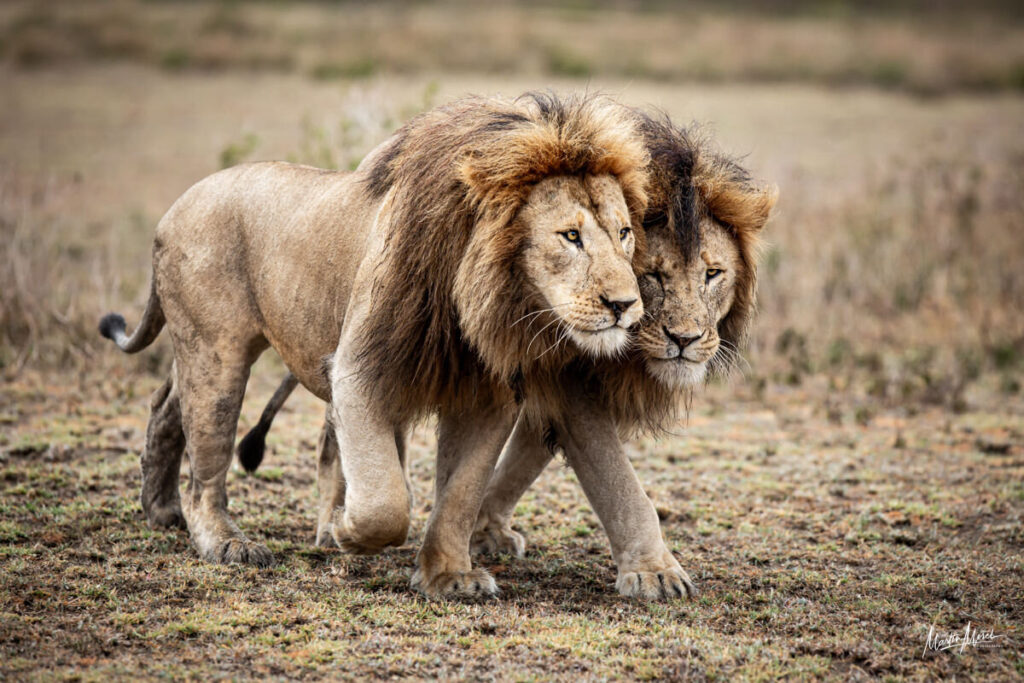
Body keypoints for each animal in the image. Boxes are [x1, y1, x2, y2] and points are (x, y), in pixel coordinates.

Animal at [98, 93, 652, 599]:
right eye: (570, 236)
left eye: (625, 233)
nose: (626, 304)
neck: (486, 299)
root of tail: (175, 206)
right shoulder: (357, 371)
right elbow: (385, 501)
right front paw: (344, 528)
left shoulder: (486, 394)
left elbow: (460, 493)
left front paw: (450, 575)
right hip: (219, 354)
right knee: (207, 463)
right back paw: (224, 541)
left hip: (200, 350)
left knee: (166, 405)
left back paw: (161, 508)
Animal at [235, 114, 777, 599]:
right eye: (656, 276)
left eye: (712, 274)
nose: (686, 339)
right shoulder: (565, 379)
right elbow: (615, 475)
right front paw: (655, 571)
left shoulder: (540, 375)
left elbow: (517, 459)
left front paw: (479, 530)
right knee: (337, 431)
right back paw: (334, 525)